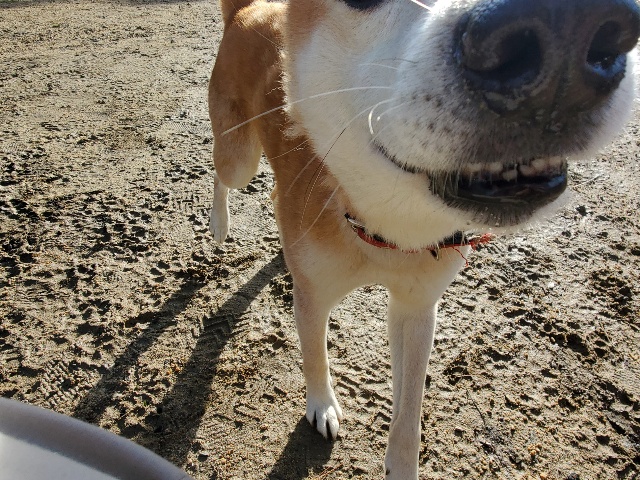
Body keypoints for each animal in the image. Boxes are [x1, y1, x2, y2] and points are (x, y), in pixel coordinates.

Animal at [207, 0, 640, 477]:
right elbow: (315, 358)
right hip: (239, 157)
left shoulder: (416, 307)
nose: (563, 30)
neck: (385, 230)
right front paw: (322, 405)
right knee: (223, 175)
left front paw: (401, 462)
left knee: (273, 194)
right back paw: (219, 222)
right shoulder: (312, 298)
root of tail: (249, 10)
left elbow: (408, 415)